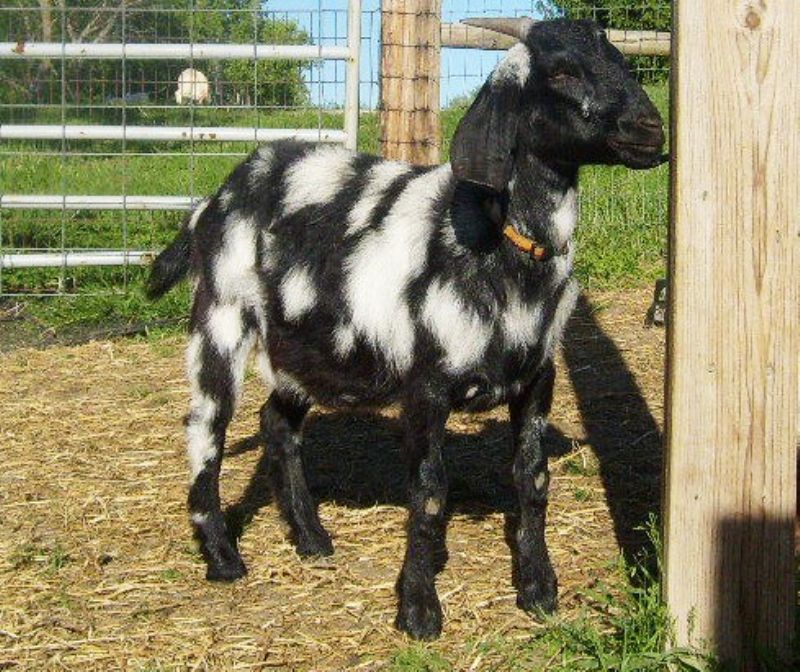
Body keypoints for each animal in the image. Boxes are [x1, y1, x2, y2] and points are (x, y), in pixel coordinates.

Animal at [147, 18, 665, 640]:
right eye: (561, 71)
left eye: (619, 58)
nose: (652, 128)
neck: (495, 242)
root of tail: (215, 198)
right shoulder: (426, 385)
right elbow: (429, 491)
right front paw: (418, 608)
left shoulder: (537, 377)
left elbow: (533, 479)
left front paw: (539, 588)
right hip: (221, 316)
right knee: (206, 426)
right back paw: (222, 556)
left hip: (304, 345)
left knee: (277, 423)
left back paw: (311, 538)